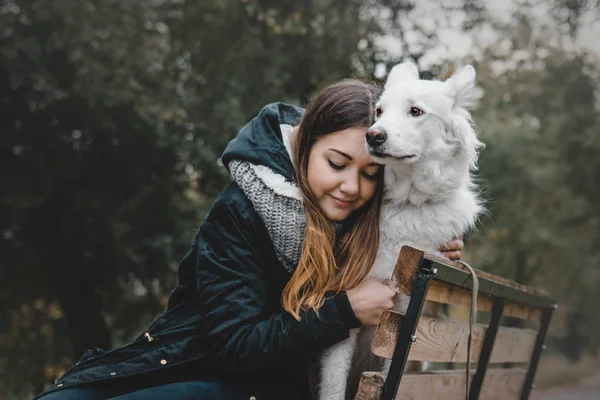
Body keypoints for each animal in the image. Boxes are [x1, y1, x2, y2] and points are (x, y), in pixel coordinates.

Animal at [318, 62, 482, 400]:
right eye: (379, 112)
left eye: (415, 111)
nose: (372, 135)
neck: (408, 205)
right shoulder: (349, 309)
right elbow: (334, 385)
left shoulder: (405, 324)